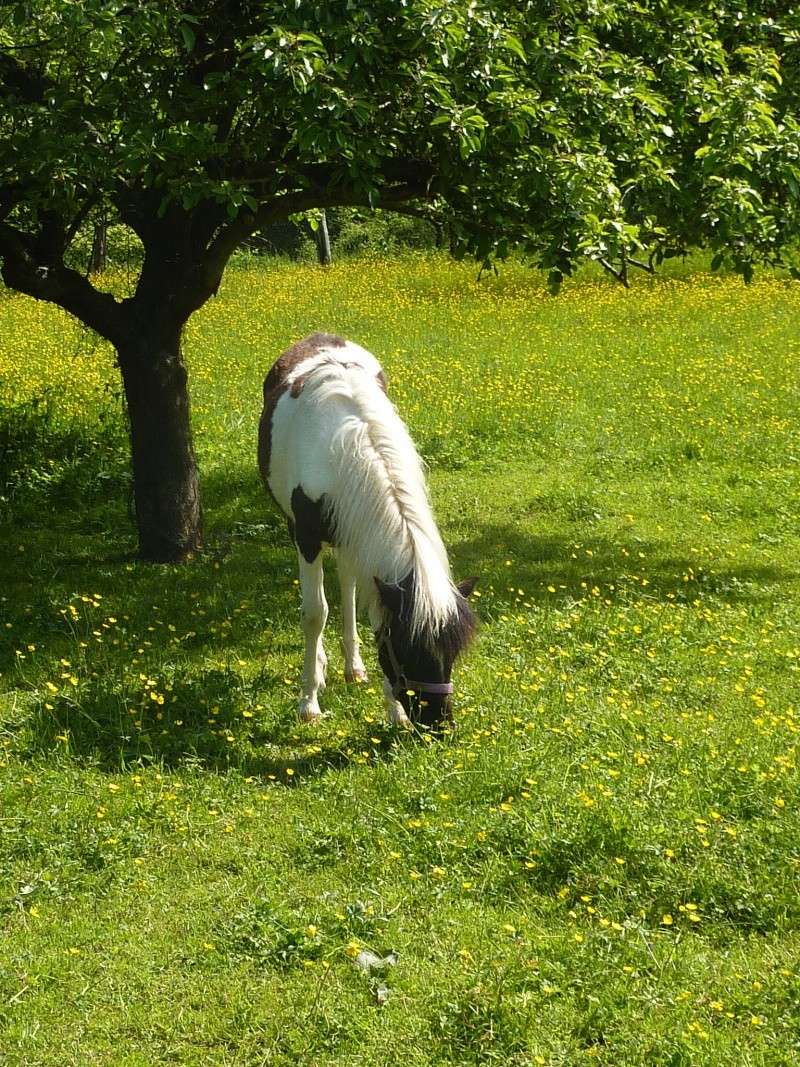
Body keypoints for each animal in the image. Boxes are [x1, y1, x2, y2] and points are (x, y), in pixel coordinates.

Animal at [258, 332, 475, 729]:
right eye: (408, 650)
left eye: (452, 652)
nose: (437, 723)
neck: (346, 445)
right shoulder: (306, 537)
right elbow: (314, 613)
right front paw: (308, 702)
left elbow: (367, 604)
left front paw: (394, 711)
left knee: (348, 585)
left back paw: (352, 666)